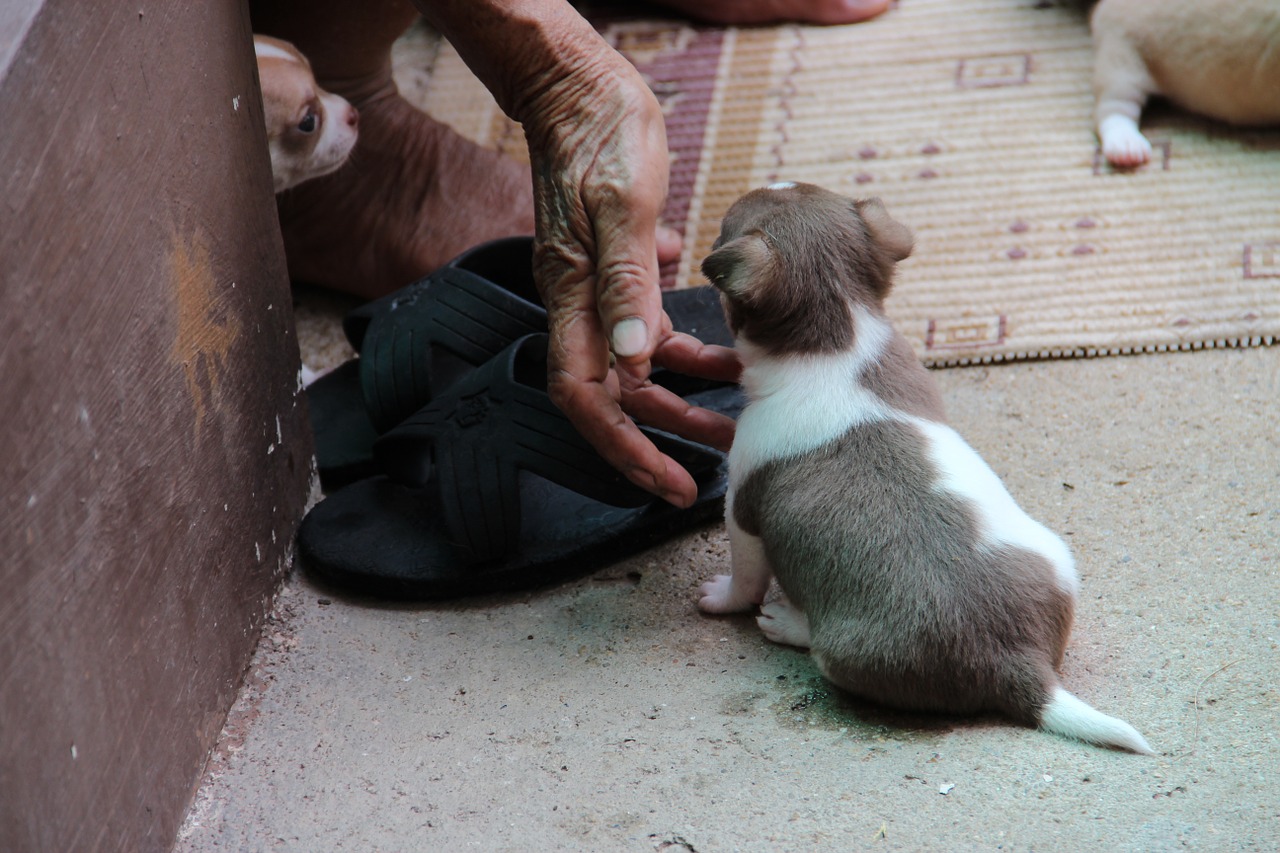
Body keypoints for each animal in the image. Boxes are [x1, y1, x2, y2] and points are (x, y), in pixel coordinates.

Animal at [696, 180, 1157, 753]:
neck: (837, 340)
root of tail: (1021, 666)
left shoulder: (741, 508)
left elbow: (744, 580)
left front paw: (720, 599)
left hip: (837, 654)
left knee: (814, 644)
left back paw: (788, 622)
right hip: (1057, 557)